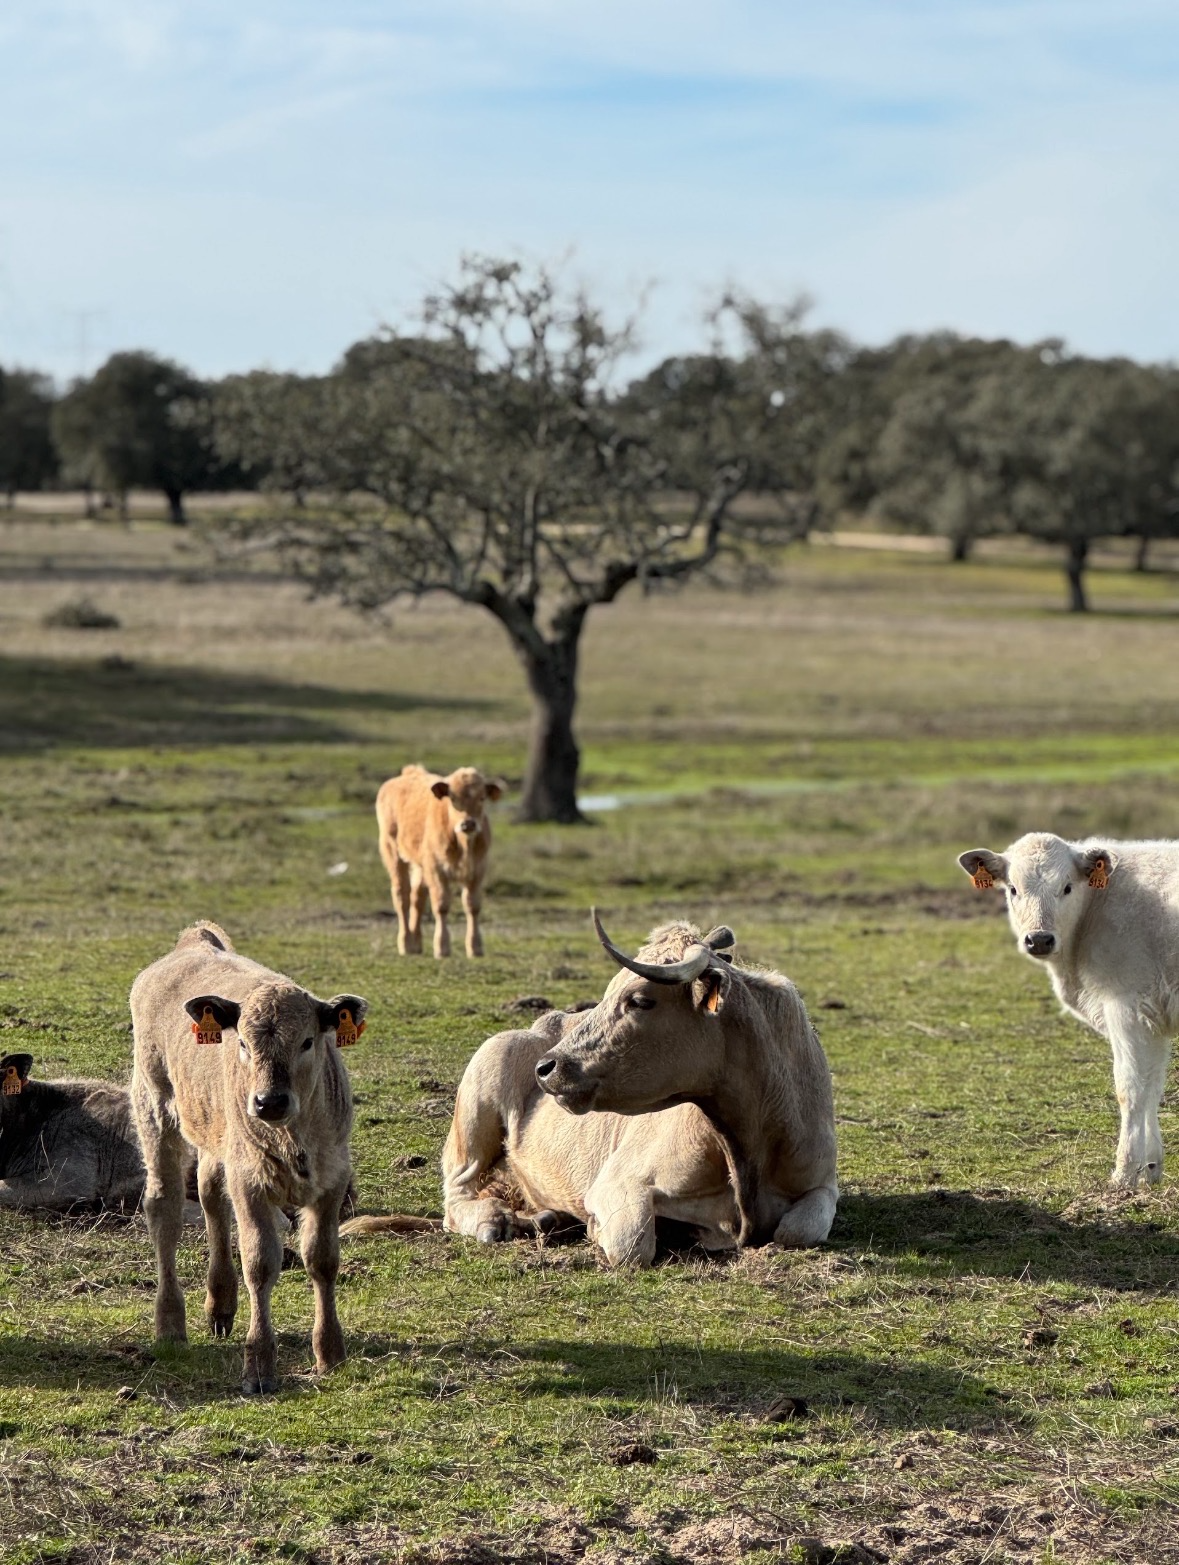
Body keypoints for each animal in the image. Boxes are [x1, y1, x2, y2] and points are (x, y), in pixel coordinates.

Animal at [130, 921, 365, 1395]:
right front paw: (258, 1363)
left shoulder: (332, 1178)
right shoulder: (250, 1181)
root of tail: (193, 944)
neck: (293, 1136)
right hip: (155, 1109)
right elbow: (260, 1262)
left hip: (215, 1136)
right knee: (164, 1209)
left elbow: (323, 1259)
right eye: (241, 1040)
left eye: (308, 1041)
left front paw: (330, 1352)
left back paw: (220, 1305)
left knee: (210, 1197)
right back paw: (170, 1325)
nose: (268, 1101)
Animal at [350, 916, 838, 1265]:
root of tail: (542, 1026)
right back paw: (499, 1220)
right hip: (478, 1101)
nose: (547, 1068)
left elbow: (798, 1230)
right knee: (458, 1199)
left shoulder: (822, 1185)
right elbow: (631, 1242)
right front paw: (600, 1231)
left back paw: (542, 1219)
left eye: (639, 1000)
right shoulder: (621, 1181)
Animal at [376, 764, 505, 958]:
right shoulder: (437, 870)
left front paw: (475, 948)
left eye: (482, 798)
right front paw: (442, 947)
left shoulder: (477, 871)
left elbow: (472, 905)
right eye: (453, 798)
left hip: (420, 867)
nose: (468, 824)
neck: (463, 845)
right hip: (393, 854)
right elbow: (441, 905)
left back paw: (416, 944)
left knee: (417, 898)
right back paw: (406, 943)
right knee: (402, 896)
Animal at [959, 833, 1179, 1188]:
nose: (1039, 940)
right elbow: (1151, 1086)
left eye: (1066, 887)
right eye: (1013, 889)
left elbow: (1130, 1088)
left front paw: (1124, 1174)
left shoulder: (1126, 1004)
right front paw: (1150, 1170)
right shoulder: (1153, 1018)